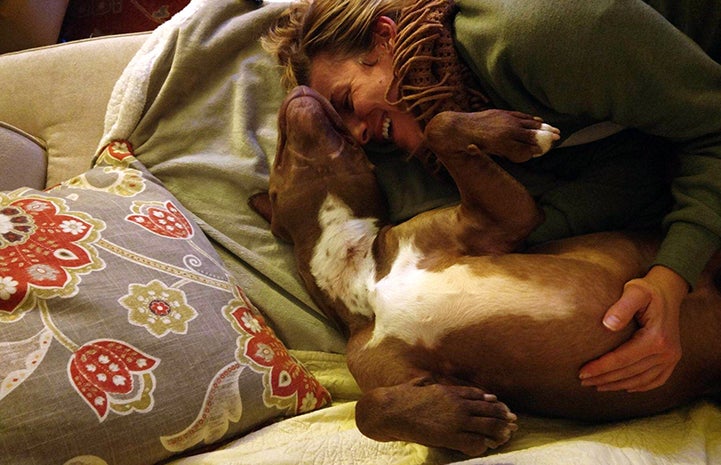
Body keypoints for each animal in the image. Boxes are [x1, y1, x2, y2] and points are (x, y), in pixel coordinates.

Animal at [249, 85, 720, 454]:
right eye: (279, 157)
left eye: (353, 140)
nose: (301, 89)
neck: (363, 275)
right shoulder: (398, 376)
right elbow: (368, 412)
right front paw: (462, 420)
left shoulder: (502, 219)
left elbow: (439, 125)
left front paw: (514, 132)